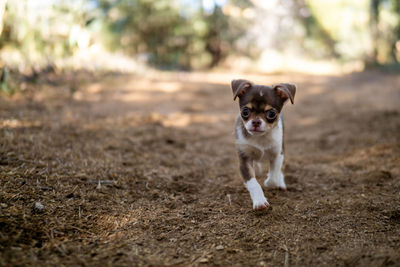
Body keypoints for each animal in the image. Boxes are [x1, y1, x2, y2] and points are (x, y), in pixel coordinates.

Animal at [230, 79, 296, 211]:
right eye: (245, 111)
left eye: (271, 114)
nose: (256, 121)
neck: (260, 138)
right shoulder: (244, 160)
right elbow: (253, 183)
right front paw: (259, 201)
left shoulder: (277, 154)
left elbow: (274, 175)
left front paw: (270, 182)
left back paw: (281, 183)